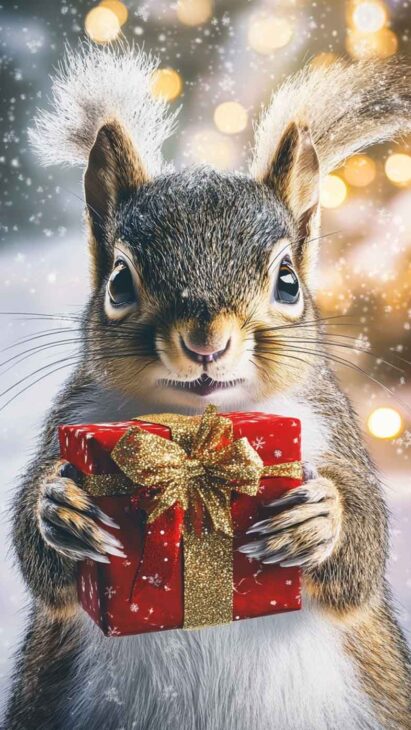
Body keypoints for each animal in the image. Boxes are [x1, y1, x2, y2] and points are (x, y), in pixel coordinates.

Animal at [4, 44, 411, 730]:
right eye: (119, 282)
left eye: (288, 281)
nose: (206, 344)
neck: (197, 419)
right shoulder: (73, 410)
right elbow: (40, 568)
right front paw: (59, 506)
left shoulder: (334, 427)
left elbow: (364, 556)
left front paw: (322, 515)